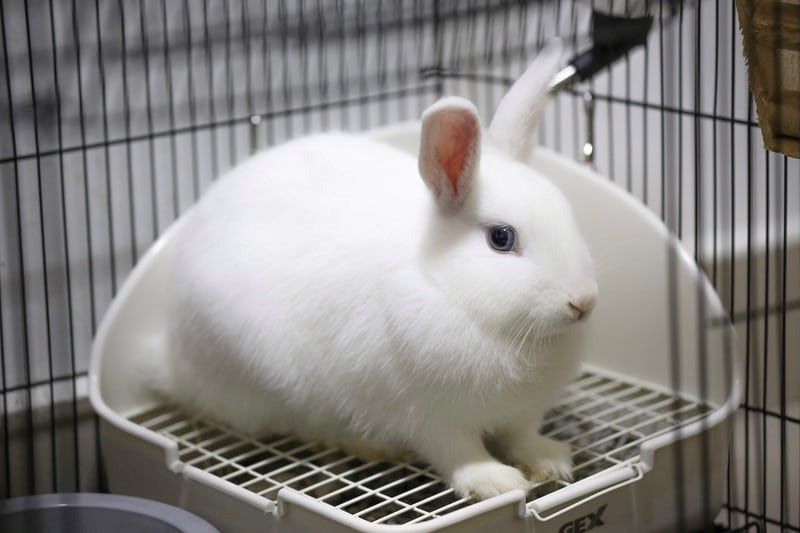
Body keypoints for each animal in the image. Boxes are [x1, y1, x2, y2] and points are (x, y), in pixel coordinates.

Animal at [158, 43, 598, 501]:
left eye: (567, 213)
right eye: (501, 238)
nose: (583, 302)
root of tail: (170, 360)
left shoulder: (522, 411)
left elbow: (522, 436)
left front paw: (550, 460)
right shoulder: (428, 415)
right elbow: (459, 453)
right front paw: (494, 481)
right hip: (261, 377)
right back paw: (369, 446)